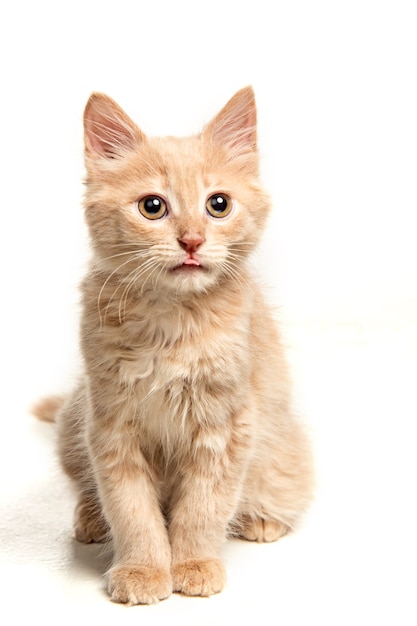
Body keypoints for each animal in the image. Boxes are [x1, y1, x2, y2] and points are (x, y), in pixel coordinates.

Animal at [33, 85, 312, 604]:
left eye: (218, 204)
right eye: (152, 207)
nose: (192, 241)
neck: (172, 325)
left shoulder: (227, 426)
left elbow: (203, 507)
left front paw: (194, 564)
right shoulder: (110, 424)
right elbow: (131, 509)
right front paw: (143, 569)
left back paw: (261, 519)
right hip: (72, 423)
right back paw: (90, 520)